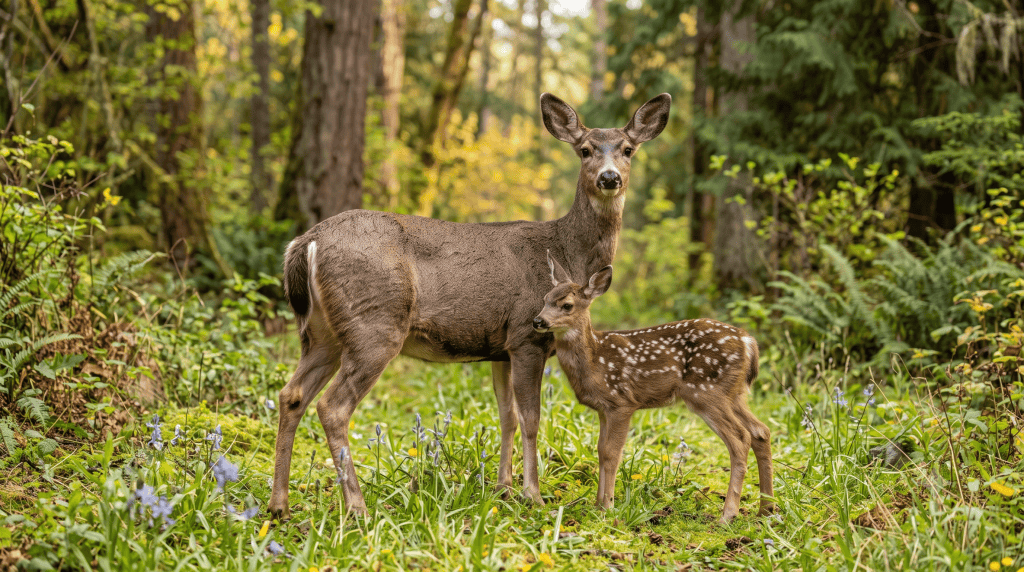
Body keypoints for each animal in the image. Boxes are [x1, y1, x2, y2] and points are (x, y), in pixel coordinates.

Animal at [268, 93, 672, 518]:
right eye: (585, 150)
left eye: (628, 149)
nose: (609, 178)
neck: (566, 251)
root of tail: (305, 242)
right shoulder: (527, 335)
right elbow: (531, 418)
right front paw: (532, 494)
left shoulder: (501, 347)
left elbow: (506, 416)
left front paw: (503, 487)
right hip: (374, 325)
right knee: (332, 407)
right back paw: (358, 508)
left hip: (321, 333)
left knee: (291, 395)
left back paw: (280, 505)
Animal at [532, 254, 774, 523]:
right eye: (545, 298)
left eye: (567, 305)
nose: (538, 321)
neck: (595, 360)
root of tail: (747, 340)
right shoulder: (603, 409)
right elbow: (600, 450)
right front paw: (597, 505)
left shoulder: (622, 402)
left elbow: (611, 453)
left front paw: (608, 507)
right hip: (735, 393)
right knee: (760, 431)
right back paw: (766, 509)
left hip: (707, 391)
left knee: (740, 438)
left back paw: (728, 515)